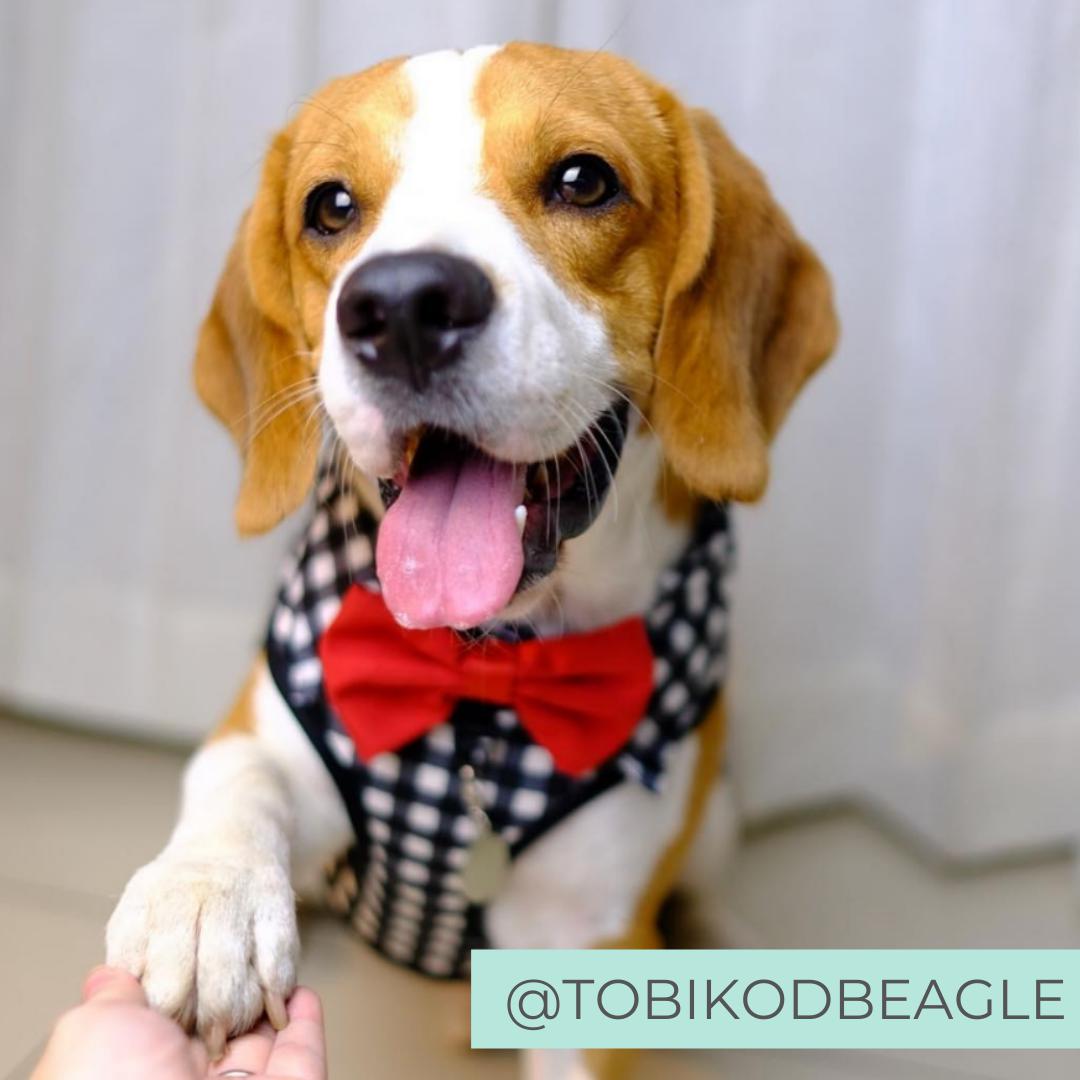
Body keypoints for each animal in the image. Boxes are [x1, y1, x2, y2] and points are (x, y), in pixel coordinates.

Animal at [107, 38, 833, 1075]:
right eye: (330, 205)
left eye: (583, 179)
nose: (404, 305)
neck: (481, 677)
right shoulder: (273, 728)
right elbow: (238, 783)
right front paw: (209, 899)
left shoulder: (593, 953)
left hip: (720, 818)